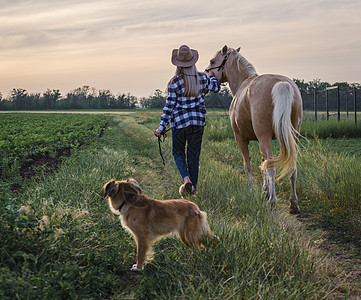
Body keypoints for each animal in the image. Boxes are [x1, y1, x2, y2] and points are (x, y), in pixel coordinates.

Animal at [205, 45, 300, 213]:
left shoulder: (241, 138)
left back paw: (273, 202)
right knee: (291, 168)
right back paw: (293, 204)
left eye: (212, 61)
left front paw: (253, 191)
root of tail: (281, 83)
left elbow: (248, 165)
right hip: (292, 137)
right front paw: (265, 190)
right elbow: (262, 164)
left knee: (271, 167)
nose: (206, 73)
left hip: (264, 138)